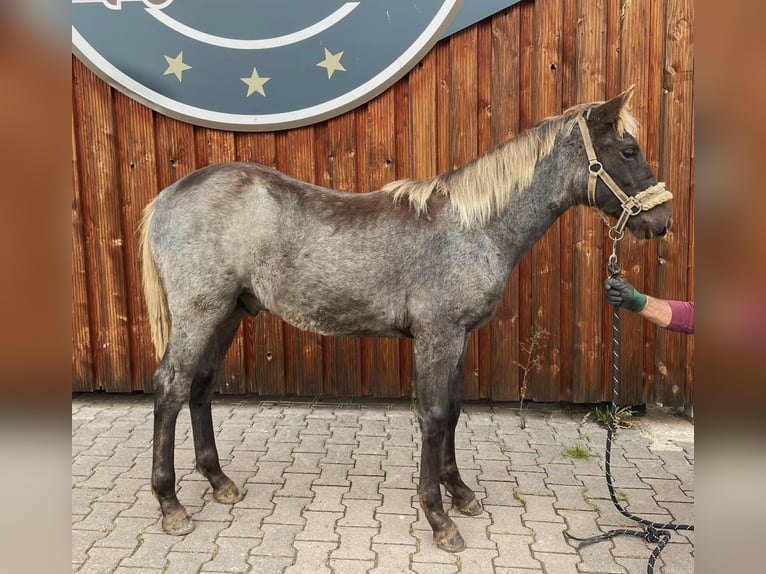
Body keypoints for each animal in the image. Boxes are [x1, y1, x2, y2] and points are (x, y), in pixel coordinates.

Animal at [140, 86, 673, 552]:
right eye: (628, 150)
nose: (661, 221)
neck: (472, 228)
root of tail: (168, 196)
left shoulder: (457, 338)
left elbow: (453, 411)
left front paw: (461, 495)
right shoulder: (437, 336)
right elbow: (433, 416)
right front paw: (439, 518)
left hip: (229, 312)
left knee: (201, 385)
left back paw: (219, 481)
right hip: (200, 312)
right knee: (170, 387)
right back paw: (170, 506)